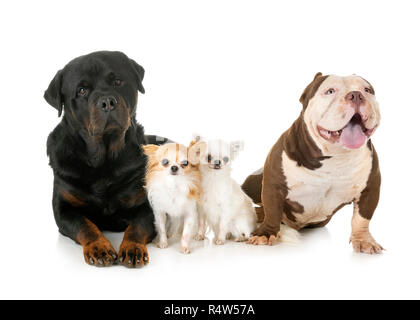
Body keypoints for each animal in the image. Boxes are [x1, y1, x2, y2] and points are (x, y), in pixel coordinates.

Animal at [45, 51, 169, 266]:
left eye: (117, 81)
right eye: (82, 90)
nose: (107, 102)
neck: (104, 161)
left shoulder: (147, 204)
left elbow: (137, 226)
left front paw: (132, 248)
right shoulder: (64, 208)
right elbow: (84, 226)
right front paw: (99, 247)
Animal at [243, 73, 384, 255]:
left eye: (367, 90)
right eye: (330, 91)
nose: (356, 95)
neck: (335, 157)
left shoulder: (370, 188)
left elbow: (362, 218)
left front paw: (364, 240)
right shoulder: (273, 185)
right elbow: (272, 211)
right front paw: (266, 234)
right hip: (250, 183)